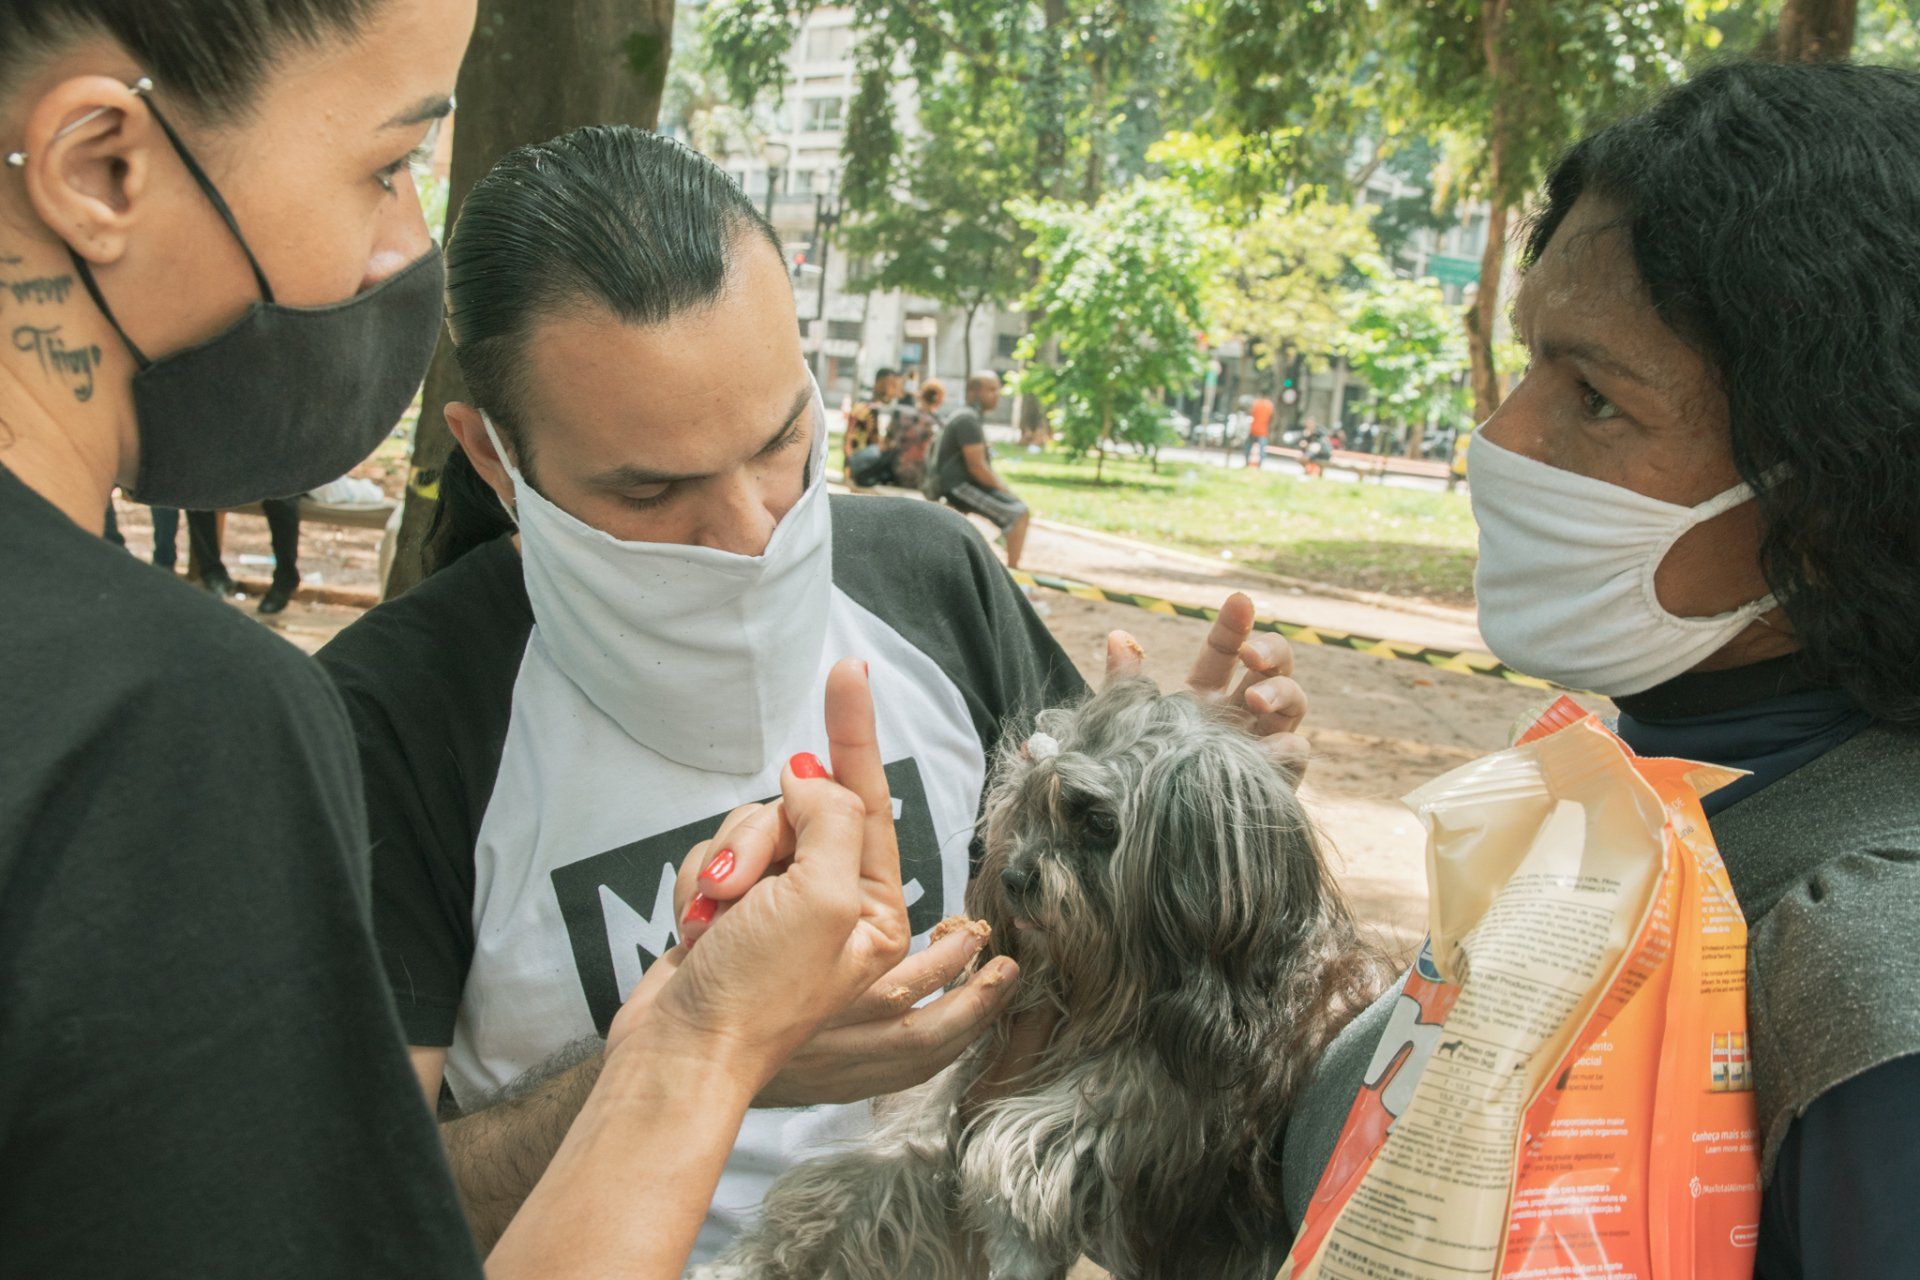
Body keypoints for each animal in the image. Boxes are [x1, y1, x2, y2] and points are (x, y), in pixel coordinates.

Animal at [698, 678, 1384, 1280]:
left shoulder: (1160, 1101)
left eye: (1099, 823)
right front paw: (756, 1258)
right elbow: (868, 1175)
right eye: (1026, 809)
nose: (1014, 877)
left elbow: (1027, 1145)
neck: (1098, 990)